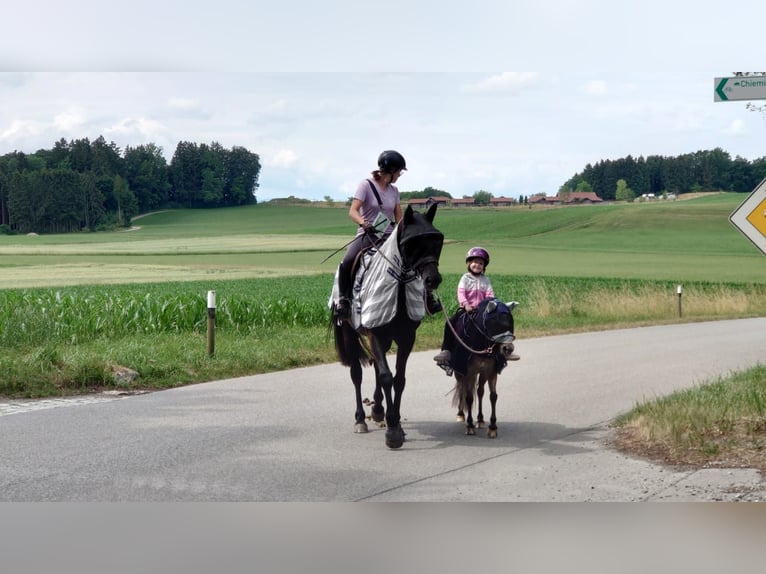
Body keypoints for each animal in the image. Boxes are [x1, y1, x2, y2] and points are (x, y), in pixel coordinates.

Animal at [330, 205, 444, 452]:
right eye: (412, 242)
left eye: (437, 240)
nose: (433, 279)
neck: (397, 289)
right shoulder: (373, 332)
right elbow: (385, 376)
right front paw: (392, 431)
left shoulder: (406, 337)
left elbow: (399, 379)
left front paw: (397, 423)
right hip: (351, 333)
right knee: (357, 374)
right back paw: (361, 419)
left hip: (385, 339)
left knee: (375, 366)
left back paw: (377, 410)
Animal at [450, 300, 516, 438]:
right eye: (495, 324)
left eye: (510, 323)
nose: (508, 349)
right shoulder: (469, 373)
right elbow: (469, 397)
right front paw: (469, 426)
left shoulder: (490, 372)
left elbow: (493, 396)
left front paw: (493, 428)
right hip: (461, 373)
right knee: (462, 389)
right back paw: (461, 414)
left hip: (482, 374)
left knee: (480, 391)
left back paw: (480, 419)